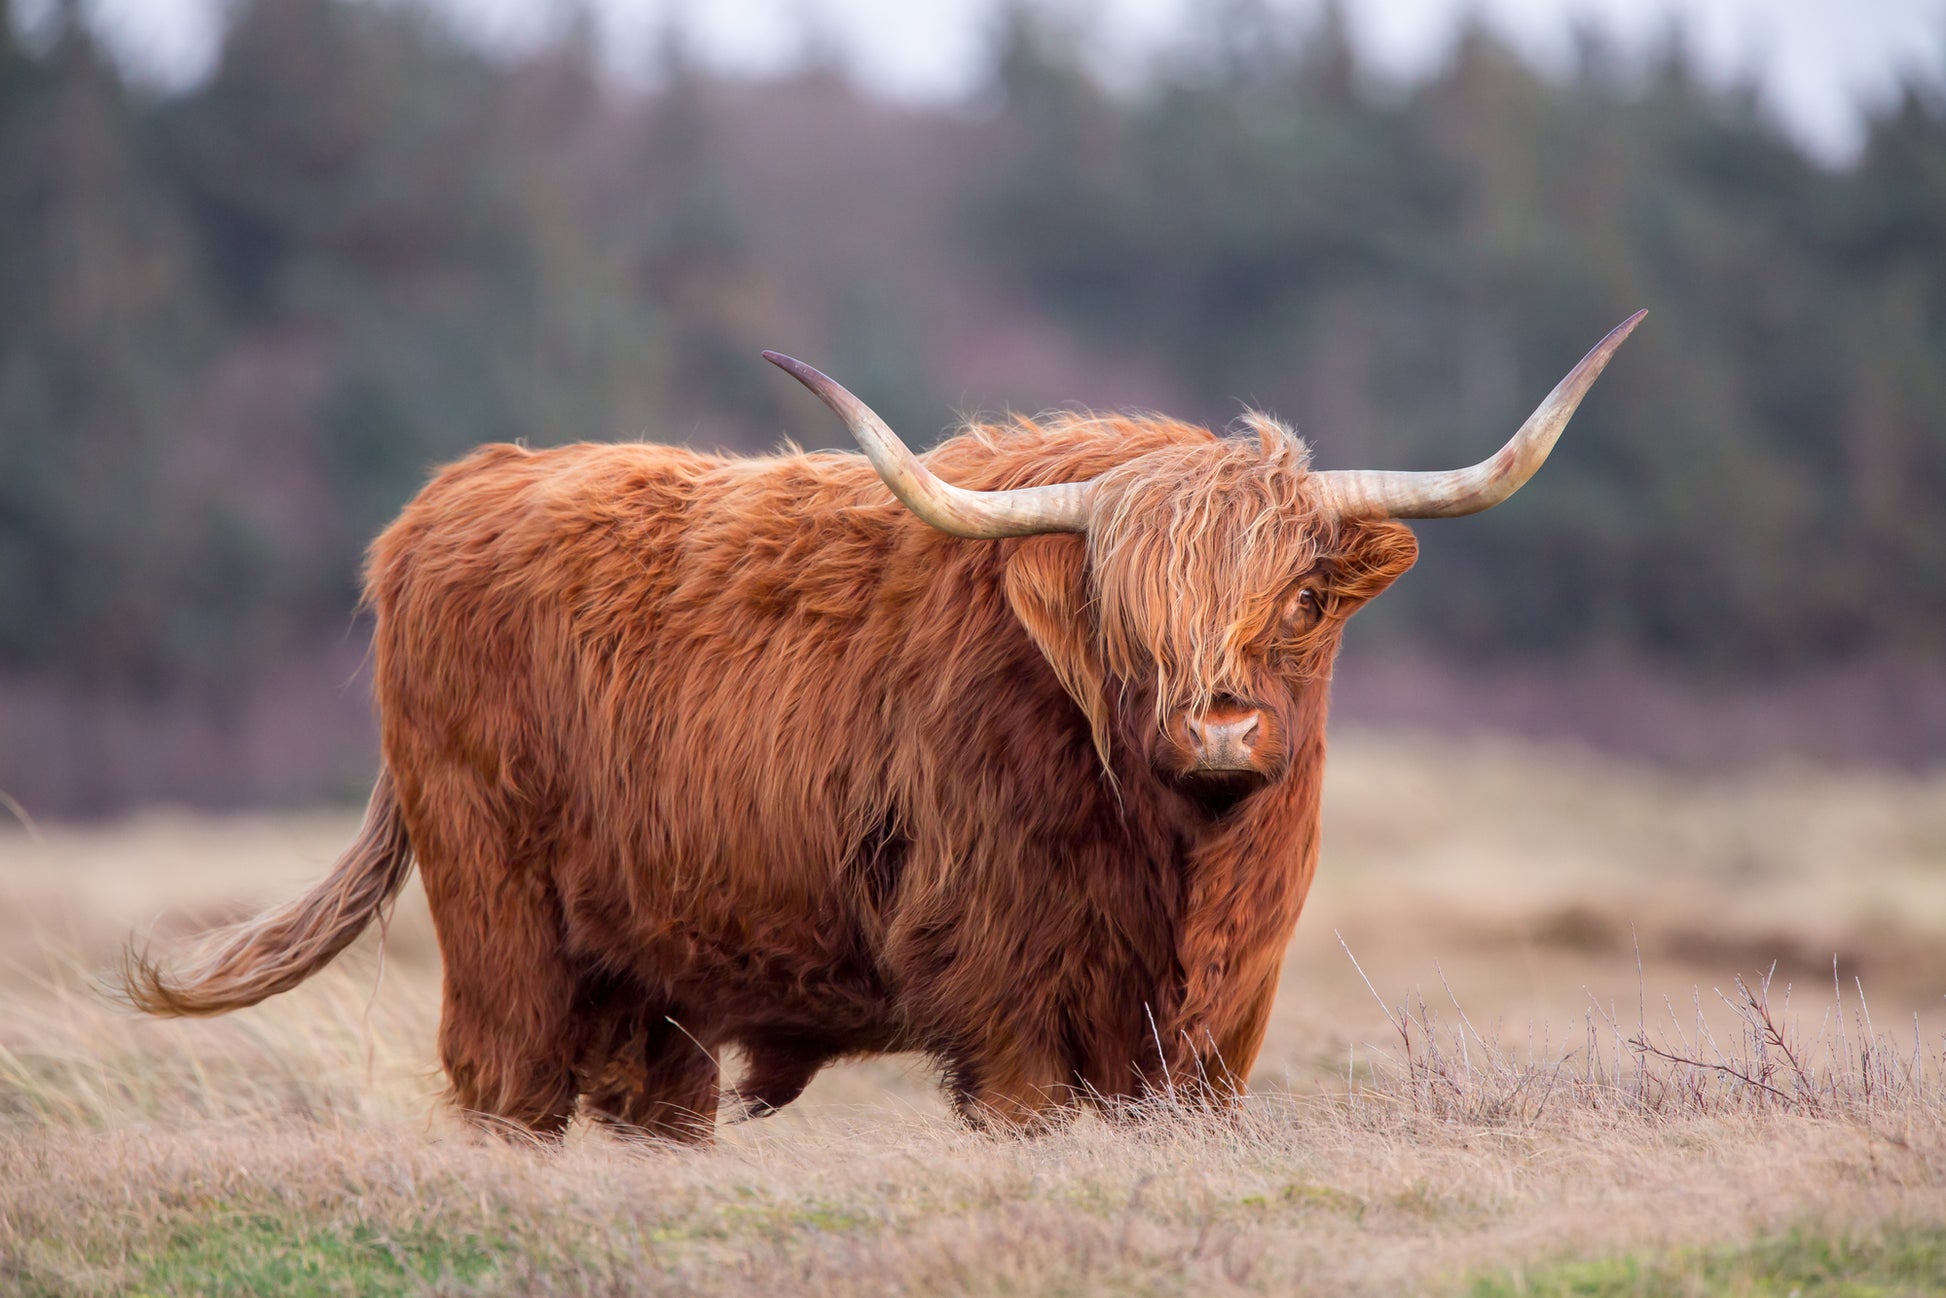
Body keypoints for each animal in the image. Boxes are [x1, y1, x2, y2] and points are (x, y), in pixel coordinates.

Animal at [120, 312, 1644, 1141]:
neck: (1180, 870)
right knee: (508, 1085)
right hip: (499, 913)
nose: (1217, 728)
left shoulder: (1224, 1022)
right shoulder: (1008, 992)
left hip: (652, 968)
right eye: (1125, 618)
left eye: (1302, 600)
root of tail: (459, 491)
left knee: (651, 1103)